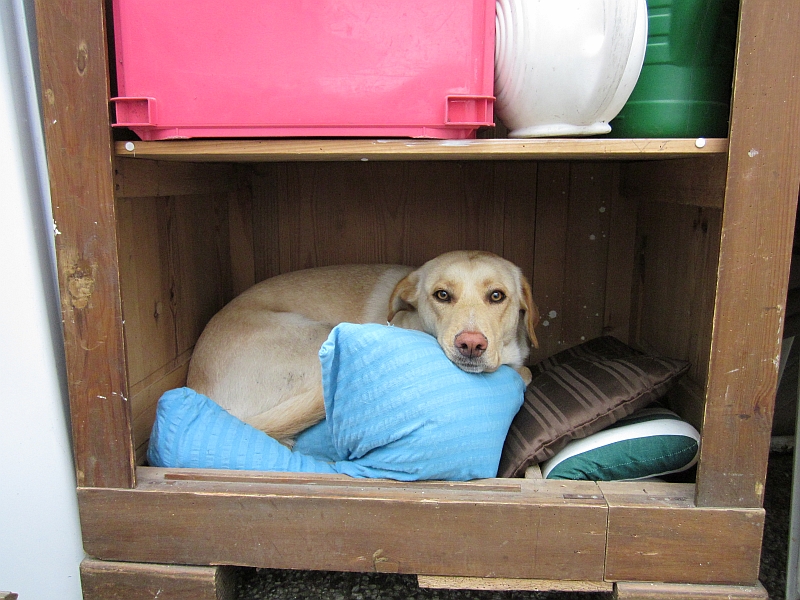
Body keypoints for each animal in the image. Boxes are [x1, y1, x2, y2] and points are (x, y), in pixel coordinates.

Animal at [187, 248, 536, 440]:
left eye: (497, 296)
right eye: (442, 295)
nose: (471, 344)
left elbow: (526, 370)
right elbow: (523, 373)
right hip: (321, 335)